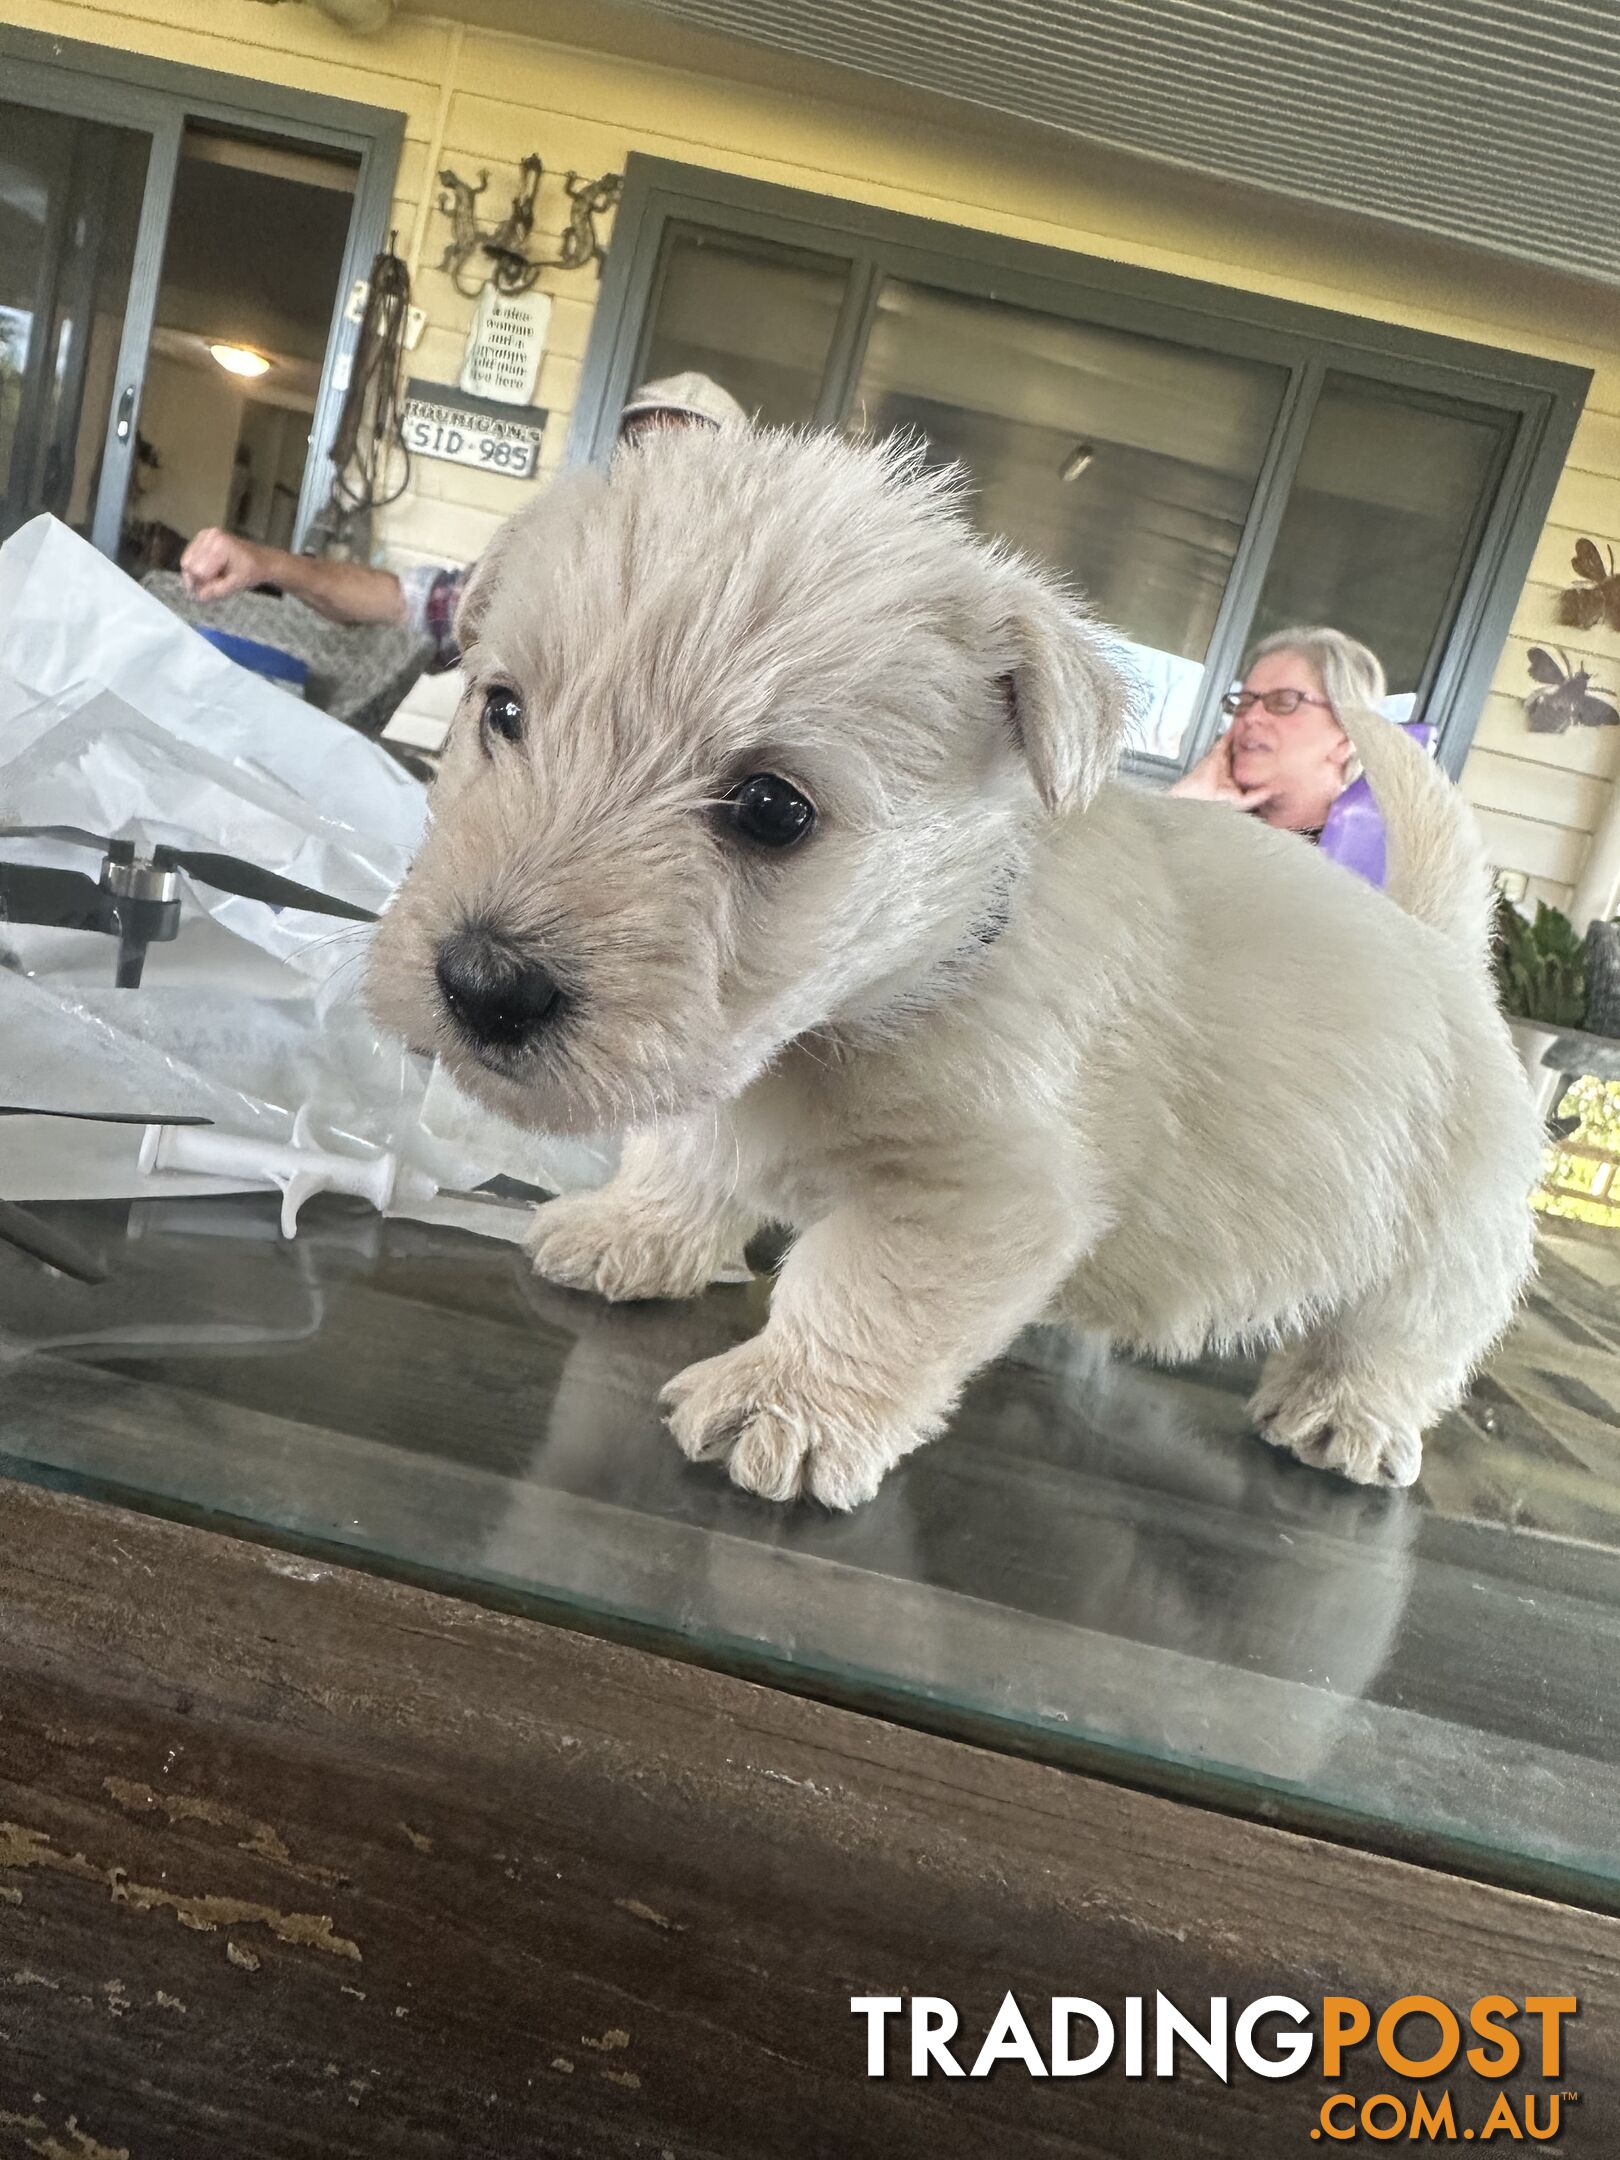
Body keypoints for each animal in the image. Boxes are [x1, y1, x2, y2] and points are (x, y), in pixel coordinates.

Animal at [367, 421, 1546, 1503]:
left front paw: (786, 1404)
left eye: (773, 809)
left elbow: (864, 1290)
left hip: (1445, 1241)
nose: (482, 985)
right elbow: (686, 1153)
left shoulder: (978, 1193)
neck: (885, 990)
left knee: (1409, 1336)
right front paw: (630, 1231)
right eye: (503, 710)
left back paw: (1345, 1415)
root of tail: (1444, 948)